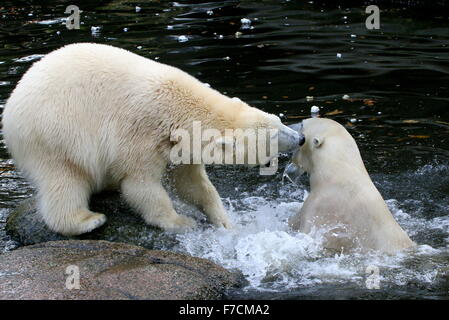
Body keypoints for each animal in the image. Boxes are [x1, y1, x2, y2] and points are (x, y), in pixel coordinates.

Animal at [3, 42, 300, 235]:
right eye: (275, 135)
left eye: (278, 120)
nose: (300, 139)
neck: (178, 107)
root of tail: (10, 111)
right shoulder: (141, 130)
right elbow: (142, 185)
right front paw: (181, 222)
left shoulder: (179, 144)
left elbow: (192, 183)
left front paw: (224, 220)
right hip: (55, 133)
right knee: (64, 178)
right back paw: (87, 220)